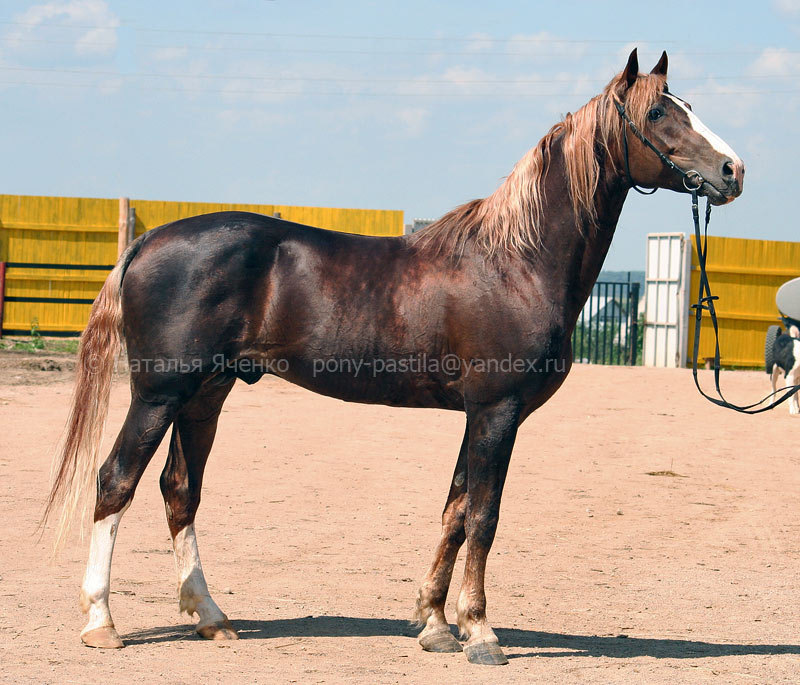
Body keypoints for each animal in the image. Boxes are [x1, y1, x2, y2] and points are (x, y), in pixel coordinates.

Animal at [43, 50, 744, 664]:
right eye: (659, 112)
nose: (733, 170)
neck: (516, 262)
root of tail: (149, 241)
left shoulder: (478, 415)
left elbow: (455, 510)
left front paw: (434, 625)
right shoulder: (497, 411)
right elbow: (484, 515)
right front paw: (480, 633)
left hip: (207, 396)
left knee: (178, 490)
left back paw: (212, 618)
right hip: (160, 394)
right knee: (115, 481)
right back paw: (102, 623)